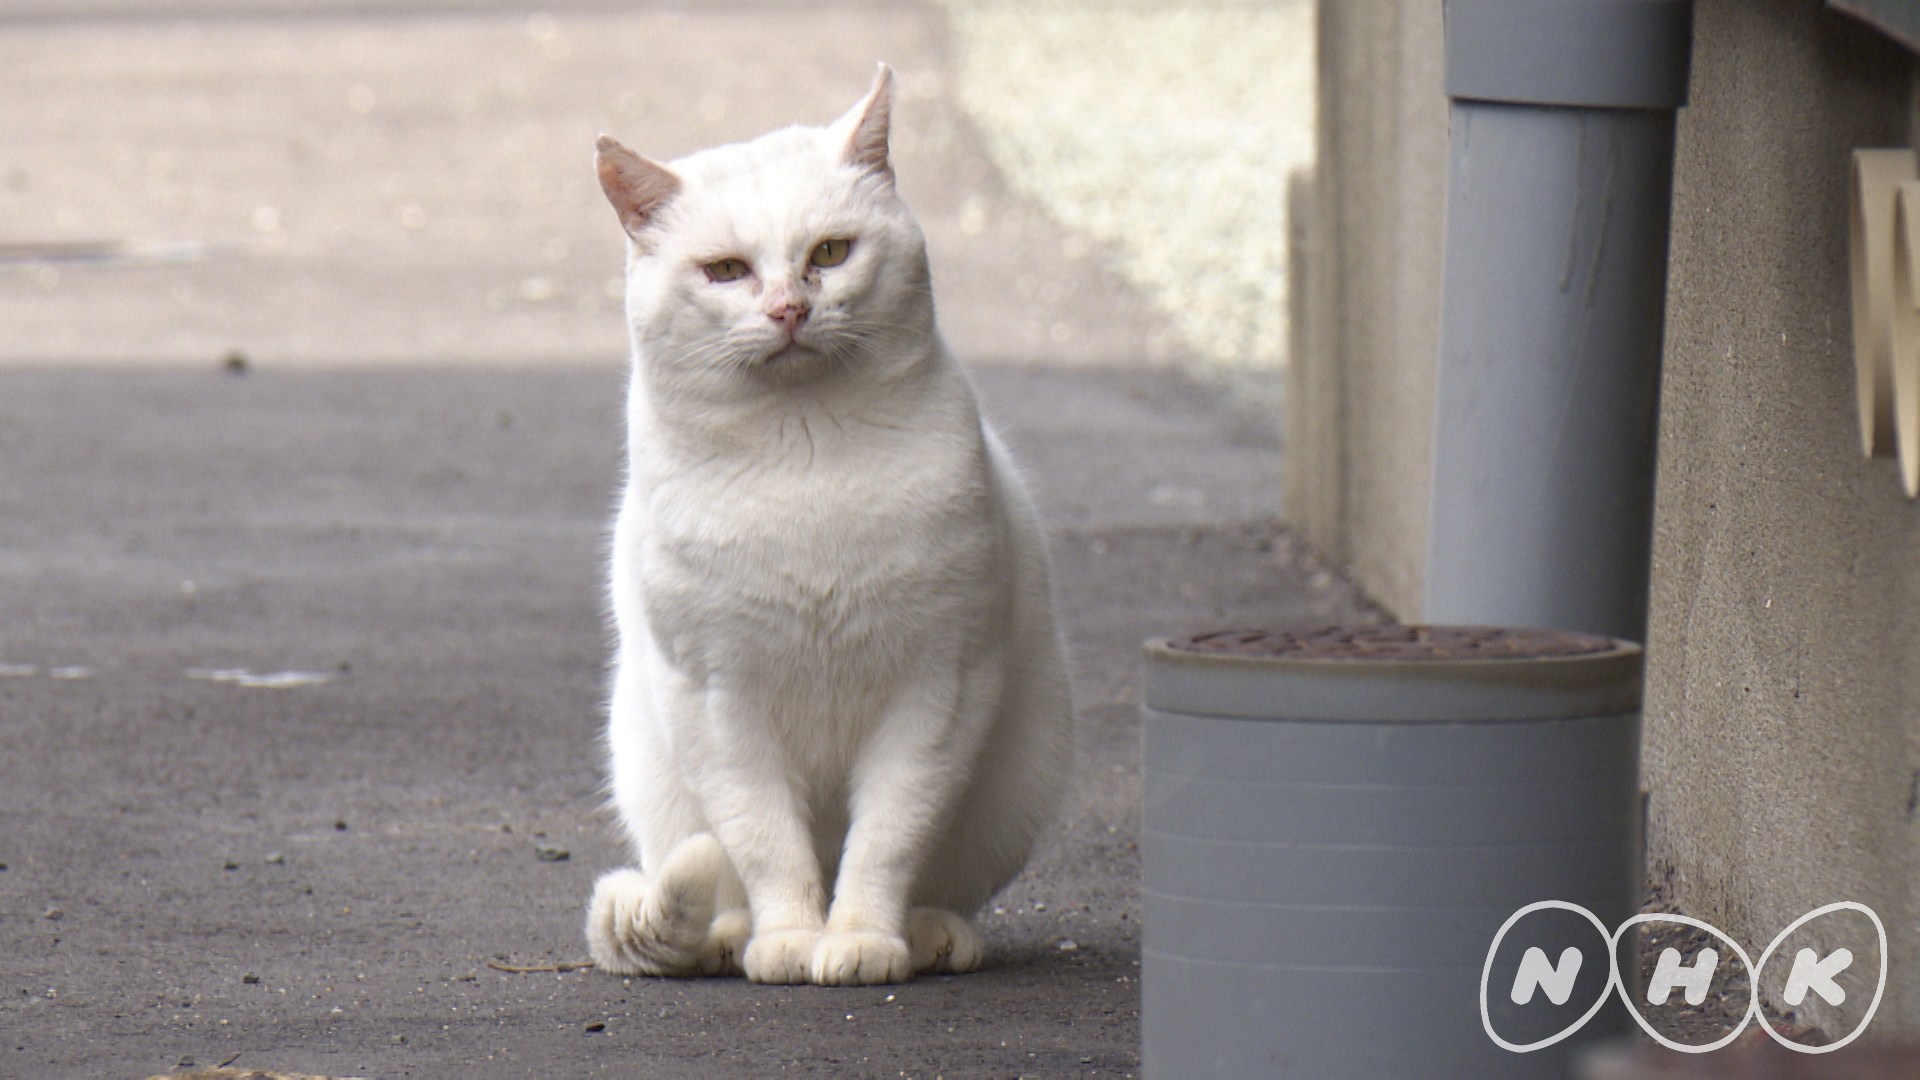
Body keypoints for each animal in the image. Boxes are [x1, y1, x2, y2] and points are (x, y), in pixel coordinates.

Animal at [576, 61, 1075, 983]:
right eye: (725, 270)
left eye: (831, 254)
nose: (787, 308)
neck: (804, 461)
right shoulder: (716, 701)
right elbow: (767, 841)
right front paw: (789, 942)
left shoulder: (938, 690)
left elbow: (887, 838)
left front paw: (861, 941)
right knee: (713, 888)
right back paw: (732, 939)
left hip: (1023, 767)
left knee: (938, 882)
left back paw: (929, 935)